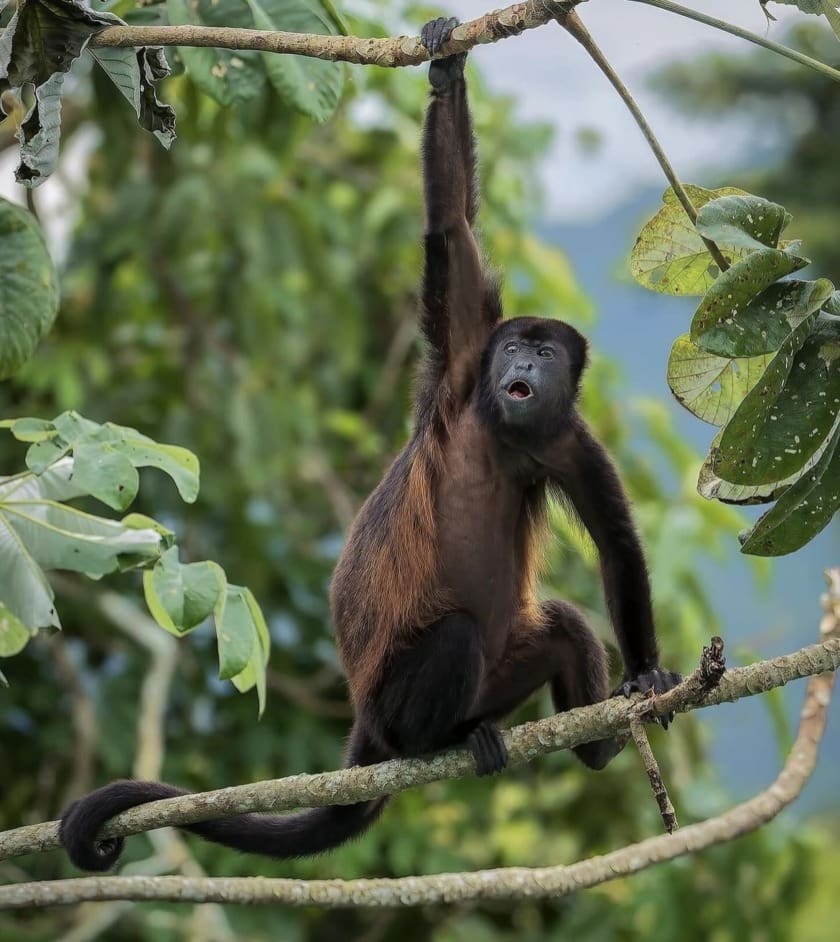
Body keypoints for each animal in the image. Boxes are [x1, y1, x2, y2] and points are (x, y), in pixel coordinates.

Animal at [59, 17, 681, 872]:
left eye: (546, 354)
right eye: (514, 346)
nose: (522, 367)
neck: (503, 428)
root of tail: (364, 722)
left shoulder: (567, 438)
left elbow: (617, 544)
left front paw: (647, 677)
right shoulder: (463, 365)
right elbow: (451, 228)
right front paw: (447, 67)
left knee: (559, 623)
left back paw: (594, 746)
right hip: (393, 702)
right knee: (455, 638)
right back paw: (445, 740)